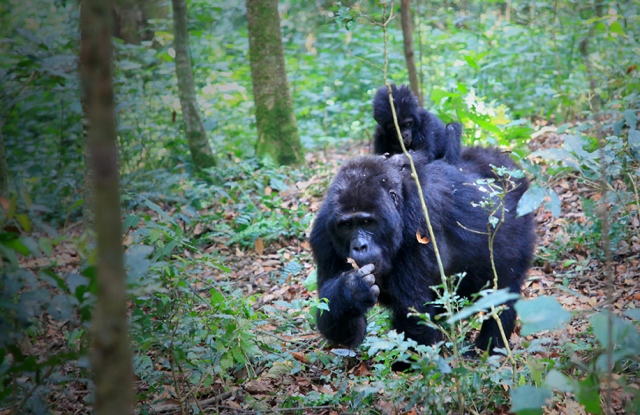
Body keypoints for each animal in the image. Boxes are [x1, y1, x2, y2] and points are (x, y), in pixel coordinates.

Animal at [310, 149, 536, 354]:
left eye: (367, 222)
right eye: (347, 225)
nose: (359, 246)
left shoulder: (420, 218)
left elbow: (414, 315)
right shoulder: (323, 232)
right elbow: (337, 322)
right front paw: (351, 290)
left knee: (505, 289)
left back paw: (490, 349)